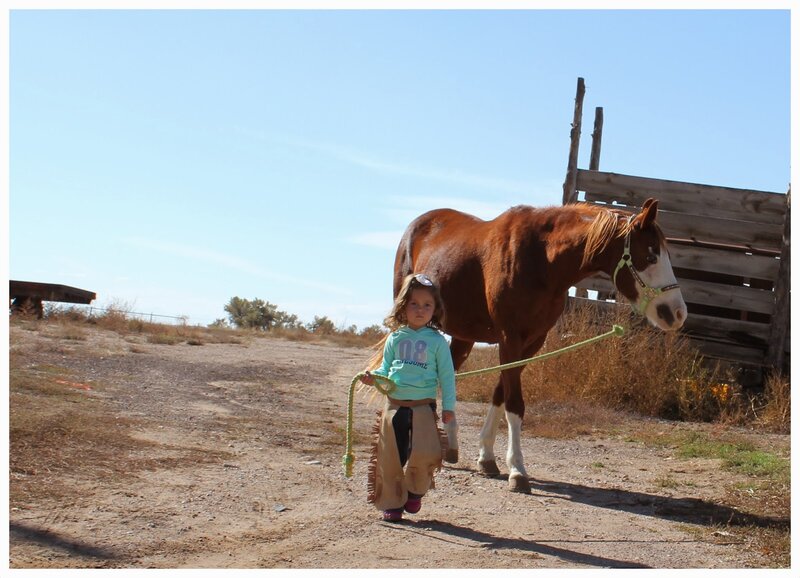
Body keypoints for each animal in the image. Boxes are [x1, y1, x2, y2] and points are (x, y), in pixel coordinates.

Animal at [392, 198, 687, 492]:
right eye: (651, 256)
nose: (677, 313)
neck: (542, 261)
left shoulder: (532, 342)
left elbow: (500, 394)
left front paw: (487, 457)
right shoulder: (510, 338)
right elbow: (514, 403)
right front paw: (517, 470)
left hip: (463, 336)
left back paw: (450, 447)